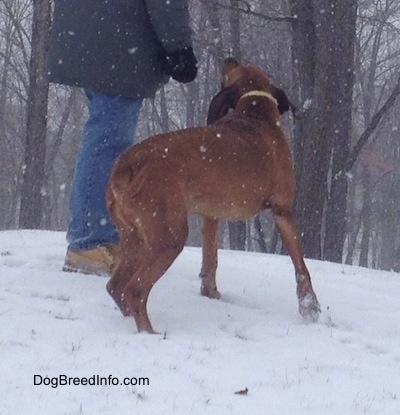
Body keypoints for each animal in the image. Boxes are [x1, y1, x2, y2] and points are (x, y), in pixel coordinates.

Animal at [104, 58, 320, 334]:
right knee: (135, 289)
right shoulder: (282, 210)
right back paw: (149, 332)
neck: (254, 112)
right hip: (169, 238)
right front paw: (309, 306)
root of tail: (128, 163)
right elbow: (300, 266)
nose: (228, 59)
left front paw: (211, 292)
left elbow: (210, 259)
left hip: (135, 237)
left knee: (116, 287)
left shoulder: (211, 217)